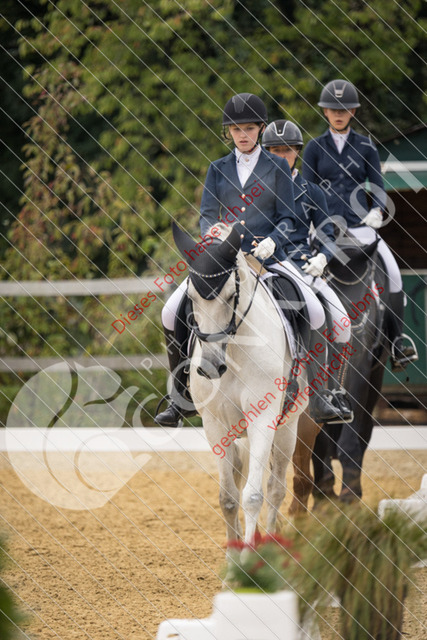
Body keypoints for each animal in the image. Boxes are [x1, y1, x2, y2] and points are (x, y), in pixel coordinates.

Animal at [172, 222, 309, 544]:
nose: (210, 367)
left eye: (228, 295)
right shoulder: (214, 423)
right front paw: (233, 555)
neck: (233, 351)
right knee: (241, 476)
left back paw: (270, 542)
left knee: (275, 488)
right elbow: (228, 497)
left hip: (287, 428)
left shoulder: (263, 418)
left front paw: (248, 555)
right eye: (192, 298)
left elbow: (253, 496)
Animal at [311, 237, 389, 504]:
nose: (347, 338)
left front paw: (349, 494)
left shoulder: (359, 371)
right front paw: (323, 493)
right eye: (329, 296)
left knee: (364, 431)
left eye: (365, 297)